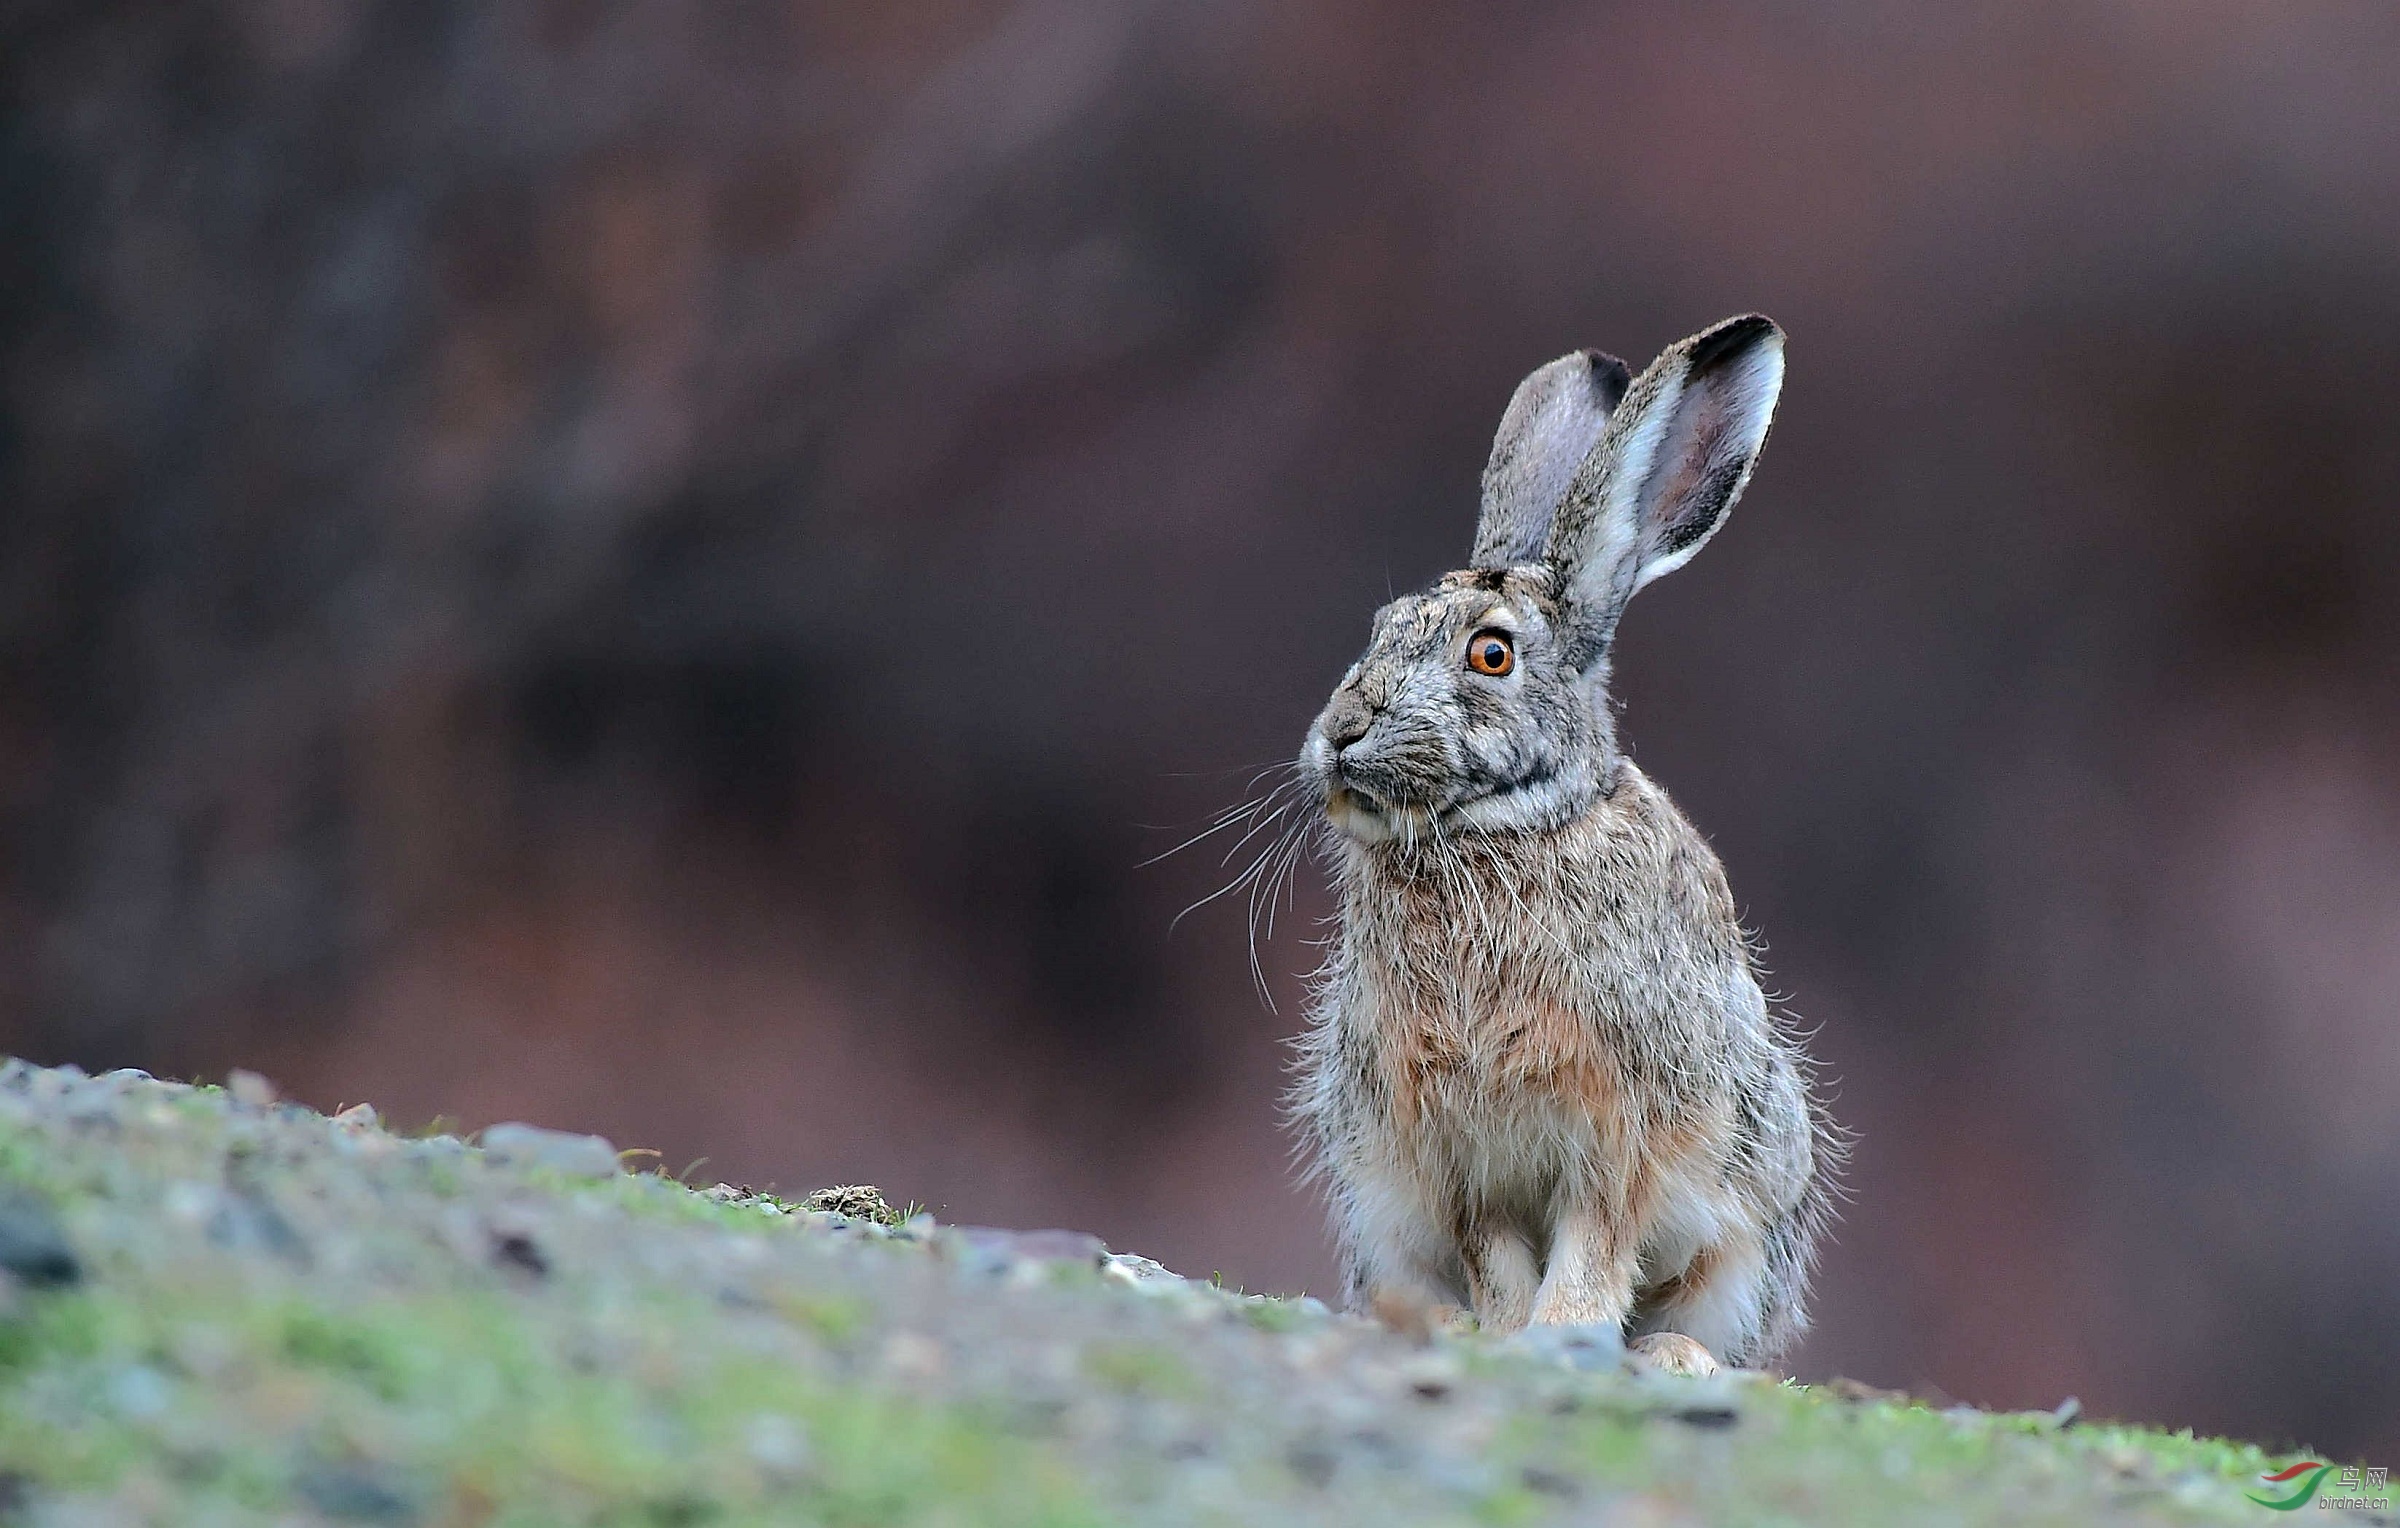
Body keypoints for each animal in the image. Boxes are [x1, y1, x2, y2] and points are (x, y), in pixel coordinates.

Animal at [1296, 311, 1833, 1372]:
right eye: (1380, 628)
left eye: (1491, 654)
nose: (1341, 732)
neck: (1503, 829)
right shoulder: (1457, 1152)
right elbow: (1494, 1248)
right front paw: (1506, 1333)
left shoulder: (1625, 1127)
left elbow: (1597, 1237)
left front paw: (1562, 1332)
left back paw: (1673, 1358)